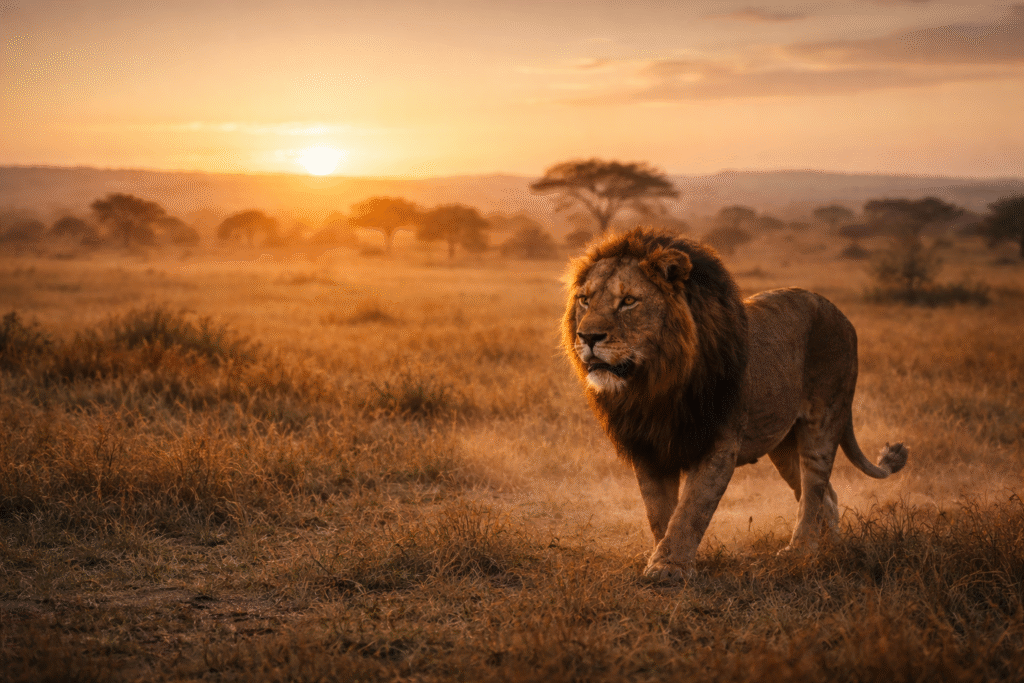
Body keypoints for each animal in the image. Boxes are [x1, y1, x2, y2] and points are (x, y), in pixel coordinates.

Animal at [563, 227, 908, 582]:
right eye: (585, 300)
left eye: (628, 301)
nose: (587, 337)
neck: (656, 384)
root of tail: (841, 315)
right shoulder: (649, 446)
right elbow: (659, 511)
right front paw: (663, 556)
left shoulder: (719, 442)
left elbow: (692, 507)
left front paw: (670, 567)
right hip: (782, 443)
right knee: (825, 493)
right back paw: (831, 548)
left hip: (823, 420)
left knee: (814, 489)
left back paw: (802, 550)